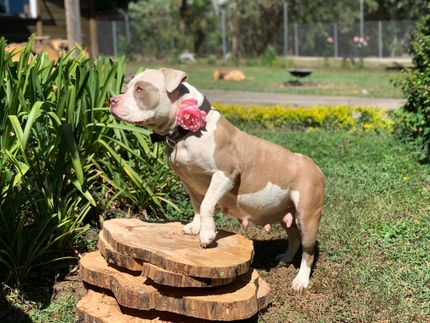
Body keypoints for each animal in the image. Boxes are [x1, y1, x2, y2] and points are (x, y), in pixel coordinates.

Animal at [109, 68, 324, 292]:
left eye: (140, 89)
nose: (112, 100)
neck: (186, 134)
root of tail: (313, 165)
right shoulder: (189, 181)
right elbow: (197, 205)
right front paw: (195, 227)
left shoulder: (225, 175)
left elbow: (206, 204)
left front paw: (207, 234)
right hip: (286, 213)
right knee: (294, 238)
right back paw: (286, 257)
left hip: (307, 216)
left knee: (308, 251)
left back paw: (301, 280)